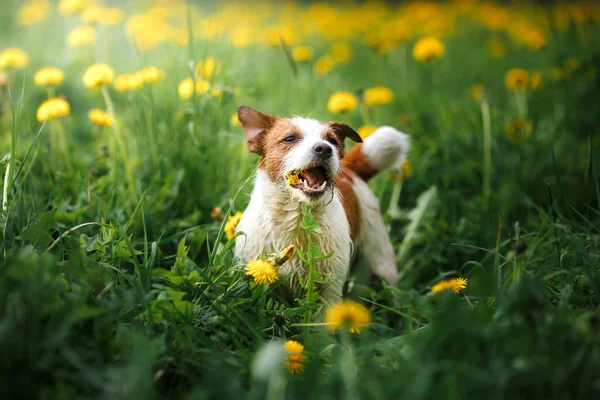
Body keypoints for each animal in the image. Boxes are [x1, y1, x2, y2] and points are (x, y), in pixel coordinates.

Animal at [233, 104, 408, 304]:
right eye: (290, 138)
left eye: (332, 140)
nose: (325, 149)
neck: (297, 217)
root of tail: (350, 169)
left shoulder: (331, 286)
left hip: (381, 262)